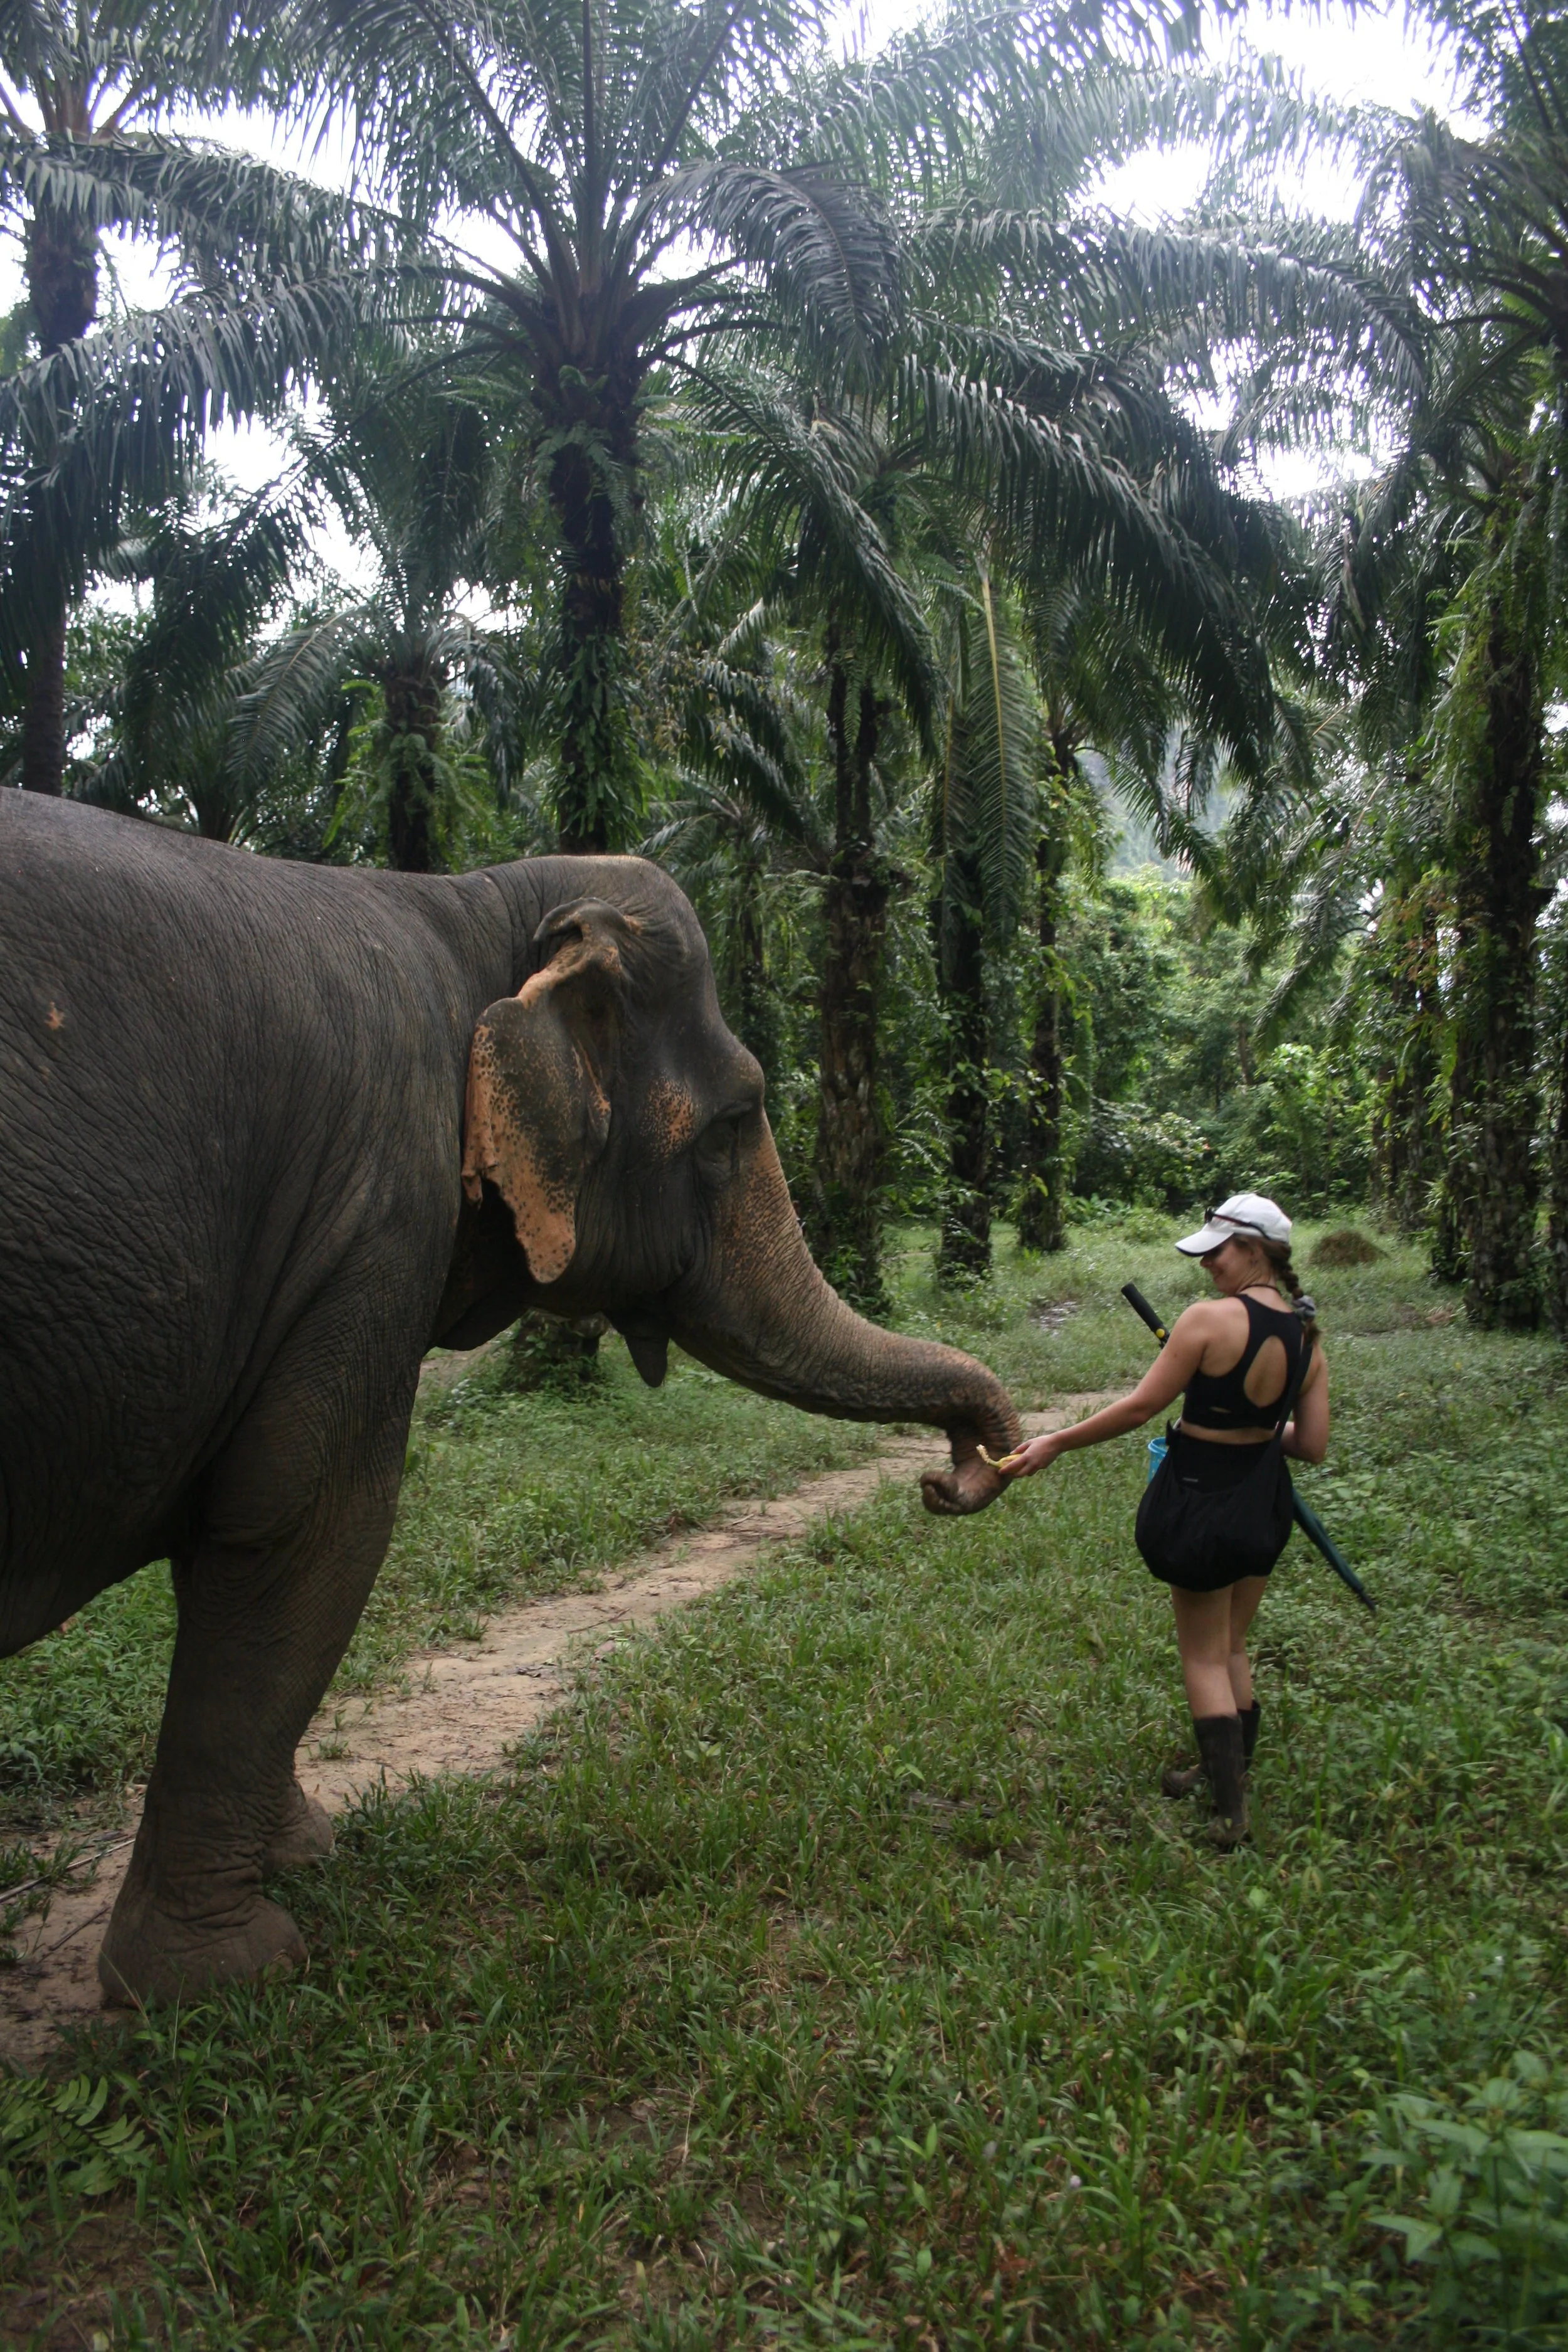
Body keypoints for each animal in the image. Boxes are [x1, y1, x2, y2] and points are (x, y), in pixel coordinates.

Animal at [0, 793, 1020, 2006]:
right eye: (736, 1119)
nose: (961, 1471)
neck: (471, 905)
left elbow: (239, 1549)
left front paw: (299, 1853)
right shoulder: (377, 1220)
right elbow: (313, 1527)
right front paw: (227, 1976)